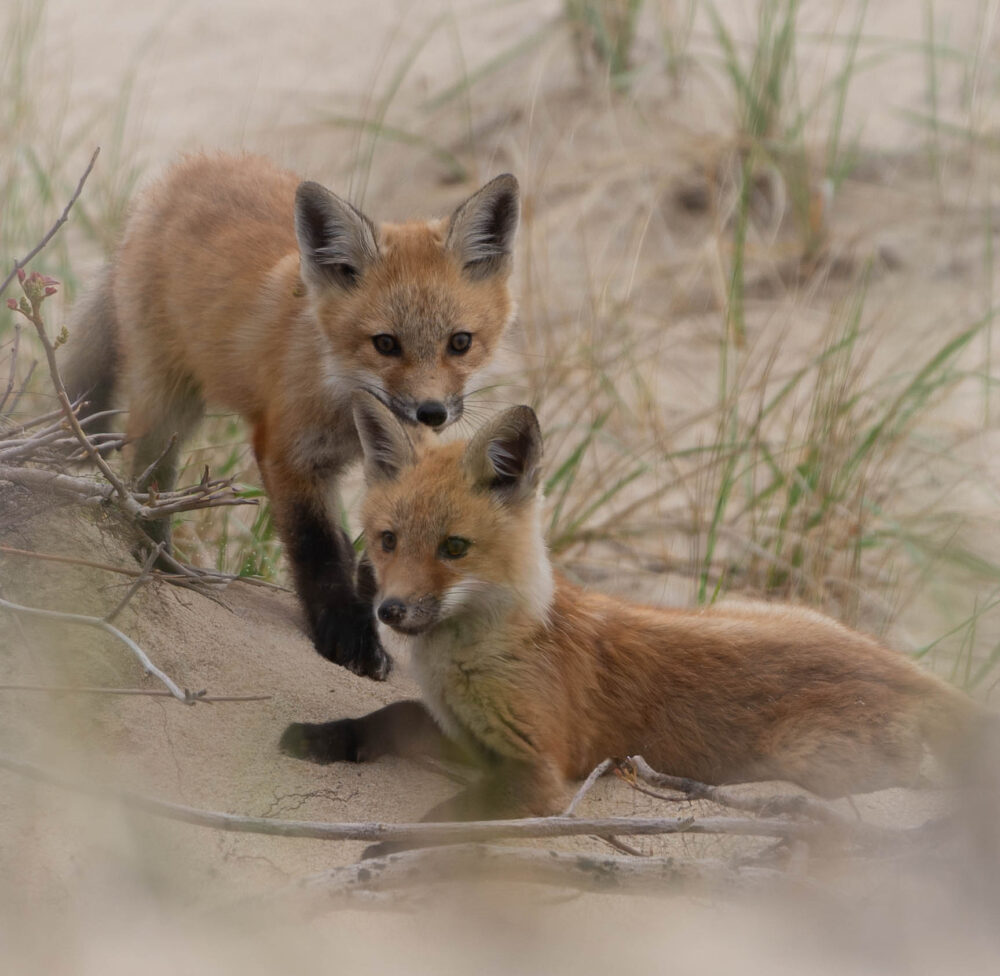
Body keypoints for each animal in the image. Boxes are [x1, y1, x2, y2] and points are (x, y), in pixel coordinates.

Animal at [64, 153, 520, 681]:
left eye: (460, 342)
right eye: (385, 343)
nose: (431, 413)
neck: (344, 402)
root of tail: (187, 166)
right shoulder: (289, 455)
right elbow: (317, 549)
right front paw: (348, 639)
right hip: (169, 399)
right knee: (146, 474)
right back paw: (158, 563)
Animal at [280, 393, 988, 824]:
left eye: (454, 548)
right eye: (388, 540)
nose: (391, 611)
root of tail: (906, 669)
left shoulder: (540, 768)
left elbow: (441, 820)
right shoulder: (466, 733)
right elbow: (390, 713)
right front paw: (325, 736)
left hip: (810, 759)